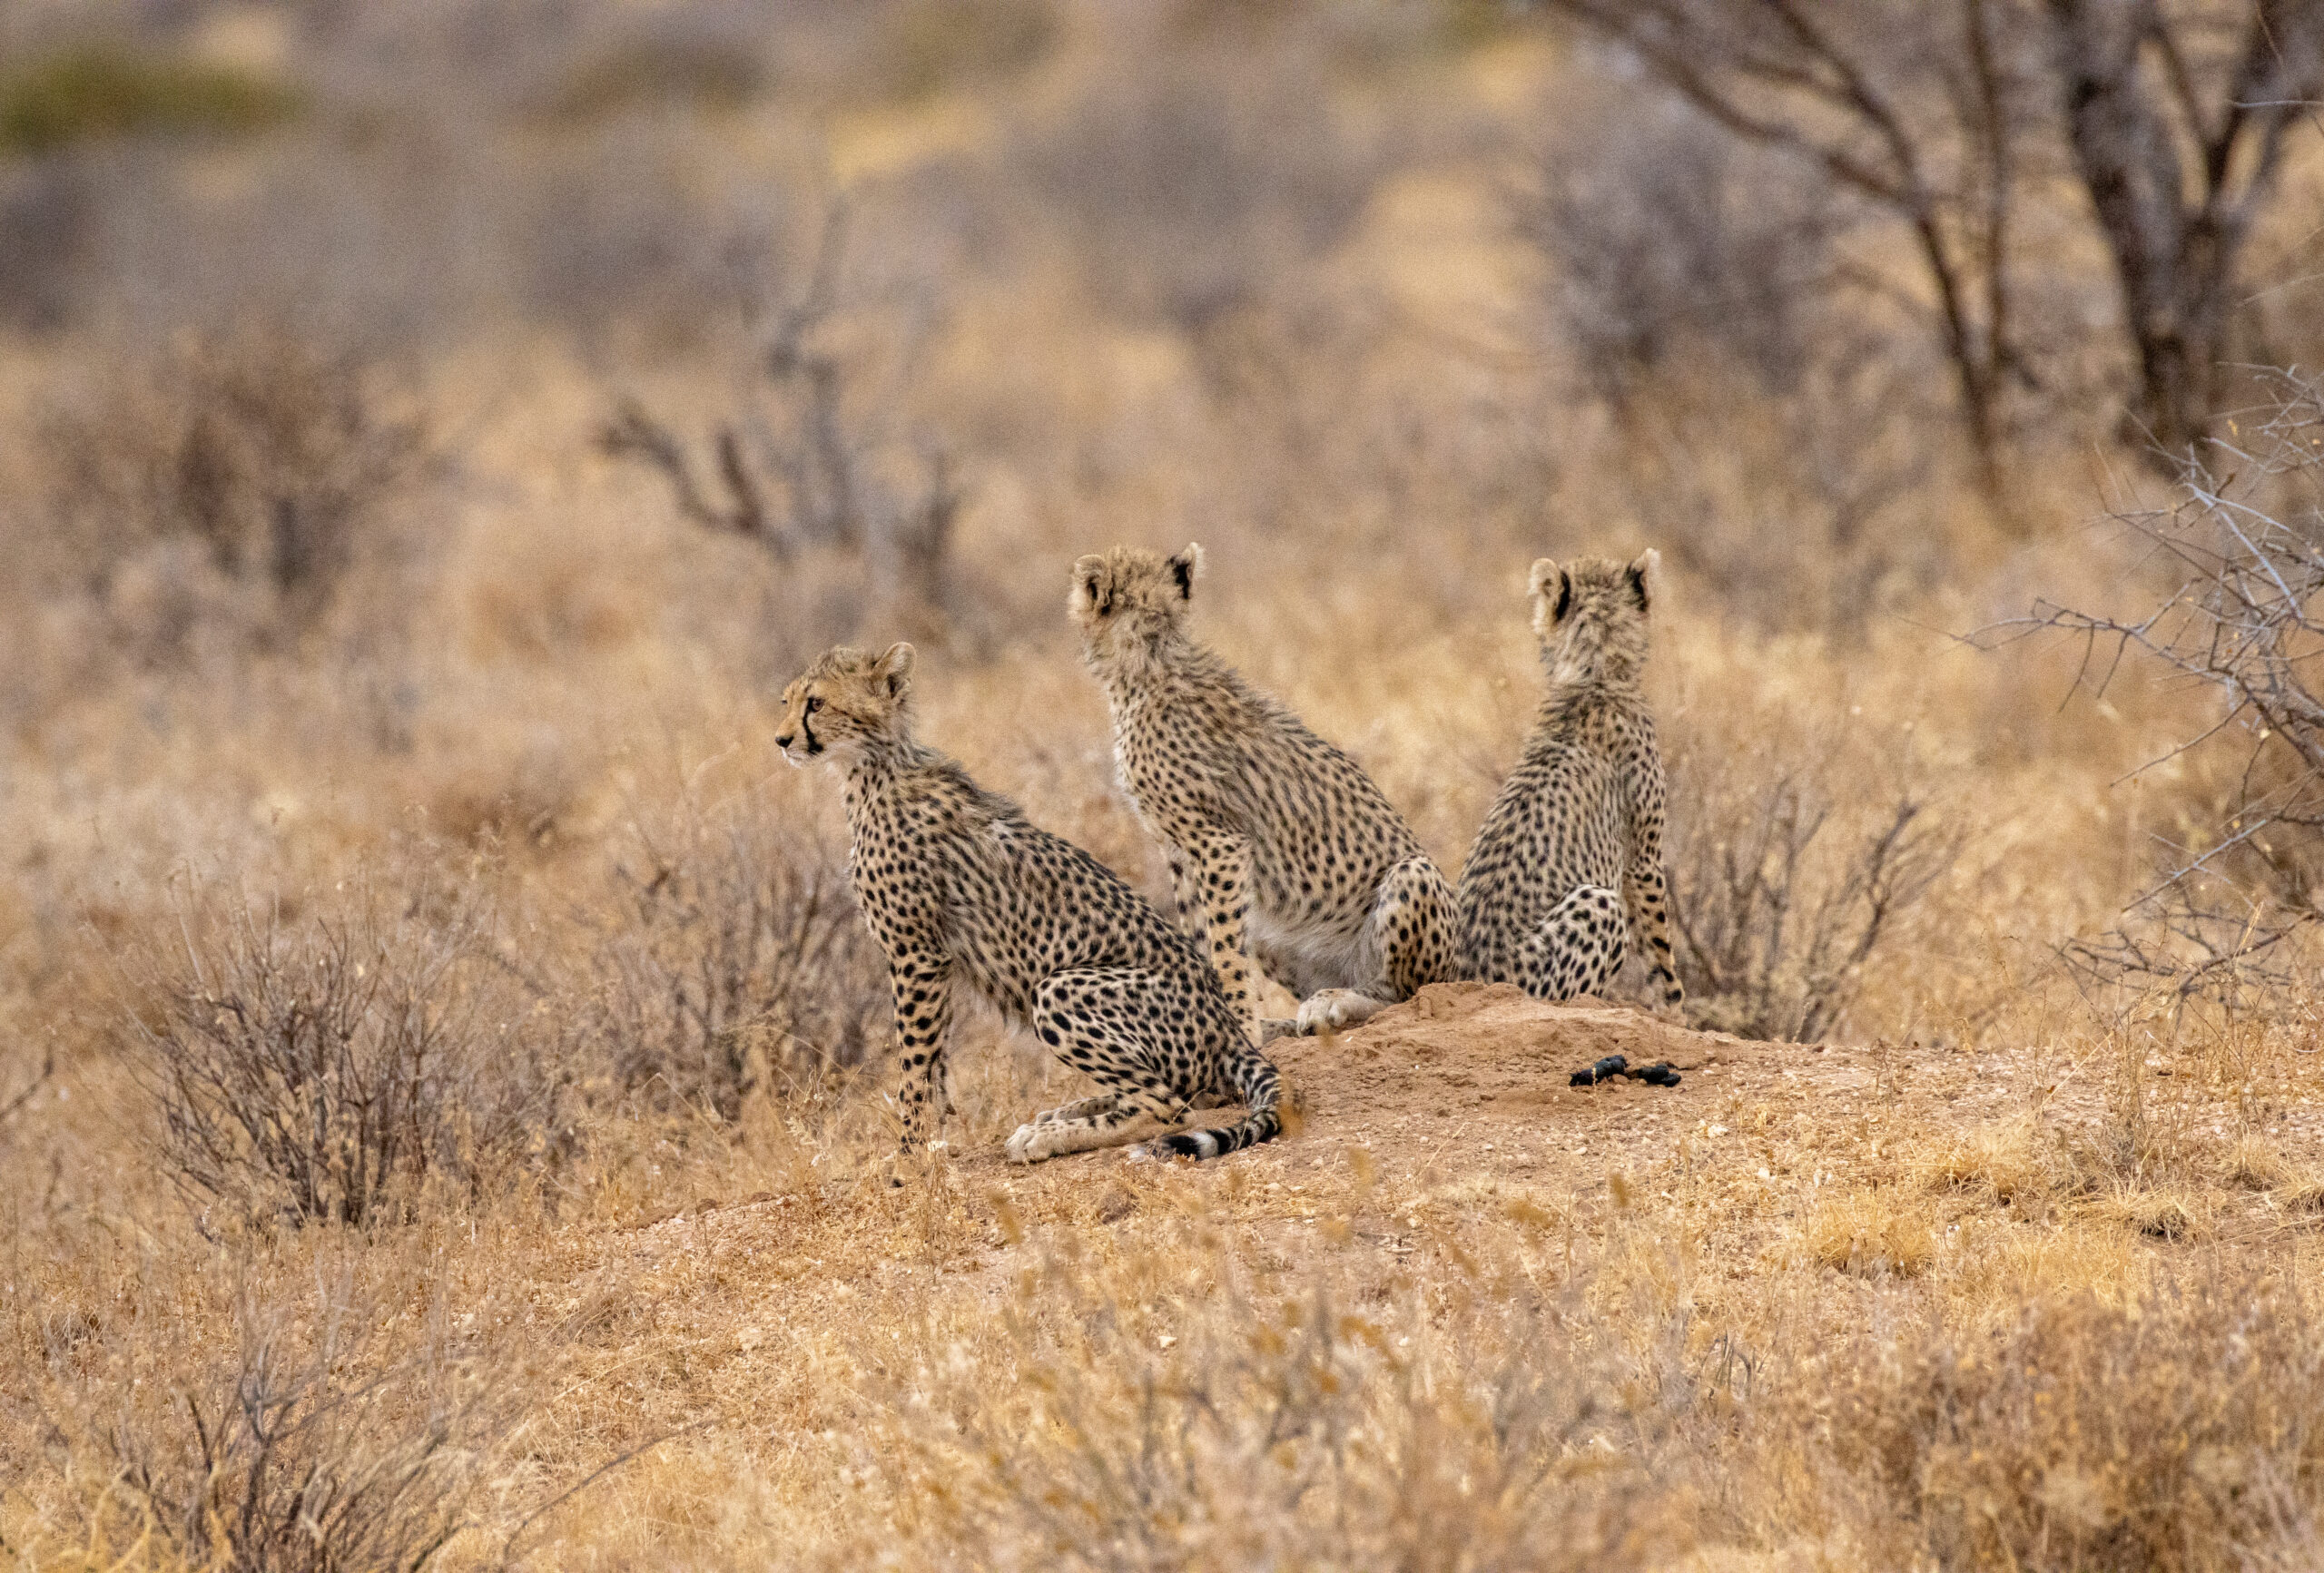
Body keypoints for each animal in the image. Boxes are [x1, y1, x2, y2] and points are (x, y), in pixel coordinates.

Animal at [776, 636, 1283, 1166]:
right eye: (787, 701)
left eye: (817, 703)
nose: (782, 740)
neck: (872, 770)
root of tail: (1227, 1025)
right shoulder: (935, 961)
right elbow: (935, 1063)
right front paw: (932, 1142)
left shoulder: (916, 955)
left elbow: (914, 1064)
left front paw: (909, 1158)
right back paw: (1065, 1112)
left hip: (1059, 989)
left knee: (1167, 1107)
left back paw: (1048, 1136)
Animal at [1068, 543, 1450, 1040]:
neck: (1149, 657)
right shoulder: (1179, 850)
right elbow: (1201, 939)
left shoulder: (1218, 844)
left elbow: (1226, 950)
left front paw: (1239, 1025)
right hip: (1273, 928)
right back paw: (1285, 1022)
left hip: (1413, 878)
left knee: (1399, 995)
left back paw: (1335, 1004)